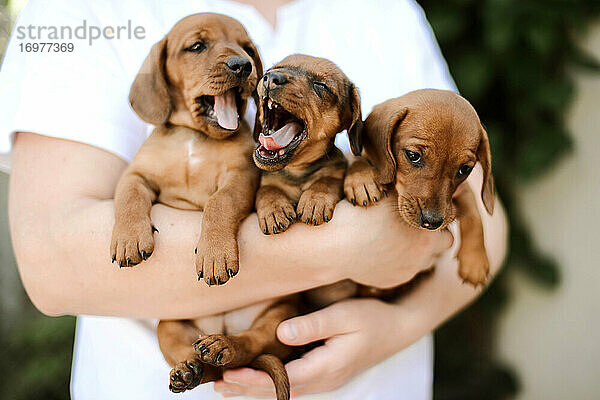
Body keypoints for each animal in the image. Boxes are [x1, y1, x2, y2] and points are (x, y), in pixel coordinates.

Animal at [252, 54, 360, 233]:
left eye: (320, 85)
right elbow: (267, 190)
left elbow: (326, 181)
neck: (297, 171)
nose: (271, 78)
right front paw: (274, 208)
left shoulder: (335, 171)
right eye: (271, 70)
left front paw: (315, 199)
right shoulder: (268, 181)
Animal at [344, 89, 494, 286]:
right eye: (413, 155)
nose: (432, 222)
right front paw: (361, 179)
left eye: (464, 169)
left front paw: (475, 261)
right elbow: (357, 159)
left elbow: (474, 214)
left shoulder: (461, 194)